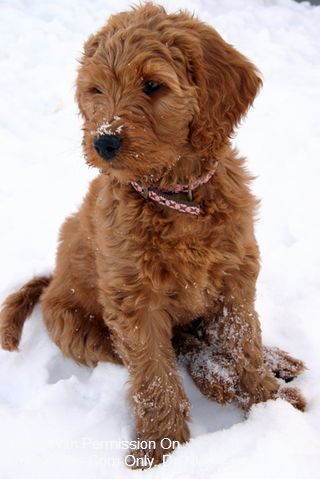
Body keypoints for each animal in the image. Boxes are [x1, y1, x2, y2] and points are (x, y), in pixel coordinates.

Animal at [0, 2, 304, 468]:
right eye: (97, 90)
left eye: (152, 85)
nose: (103, 143)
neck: (177, 197)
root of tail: (49, 282)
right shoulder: (134, 303)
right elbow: (154, 377)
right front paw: (161, 449)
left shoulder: (237, 276)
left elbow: (244, 342)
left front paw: (268, 403)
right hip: (79, 330)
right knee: (182, 348)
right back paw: (218, 380)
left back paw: (275, 364)